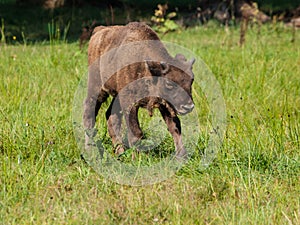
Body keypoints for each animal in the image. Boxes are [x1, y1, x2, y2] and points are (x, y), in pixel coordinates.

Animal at [83, 21, 196, 158]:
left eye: (191, 80)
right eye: (169, 83)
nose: (188, 107)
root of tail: (99, 31)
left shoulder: (165, 103)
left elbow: (174, 127)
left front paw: (182, 156)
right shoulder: (130, 102)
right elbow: (136, 132)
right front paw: (137, 158)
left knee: (111, 116)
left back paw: (120, 152)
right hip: (97, 88)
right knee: (89, 113)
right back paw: (89, 150)